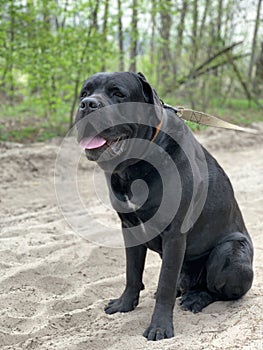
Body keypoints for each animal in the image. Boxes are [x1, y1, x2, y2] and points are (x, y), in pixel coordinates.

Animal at [75, 72, 255, 342]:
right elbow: (132, 272)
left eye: (118, 93)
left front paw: (159, 327)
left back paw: (195, 299)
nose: (87, 105)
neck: (134, 166)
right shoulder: (129, 227)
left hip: (230, 252)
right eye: (84, 93)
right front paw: (124, 304)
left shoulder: (174, 233)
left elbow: (165, 284)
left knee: (218, 290)